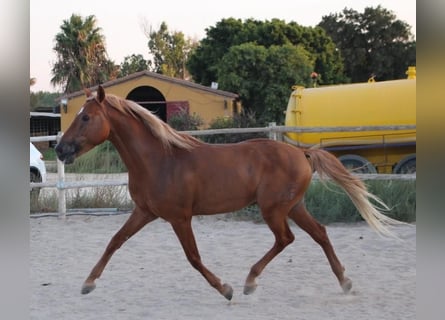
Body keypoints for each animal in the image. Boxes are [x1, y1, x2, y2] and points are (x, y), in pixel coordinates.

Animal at [54, 85, 398, 300]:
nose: (60, 149)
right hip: (294, 206)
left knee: (286, 239)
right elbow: (115, 241)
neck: (161, 159)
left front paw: (226, 289)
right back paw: (345, 282)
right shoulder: (144, 212)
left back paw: (249, 282)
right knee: (321, 234)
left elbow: (193, 257)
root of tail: (302, 154)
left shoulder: (180, 218)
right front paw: (87, 284)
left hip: (274, 209)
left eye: (86, 117)